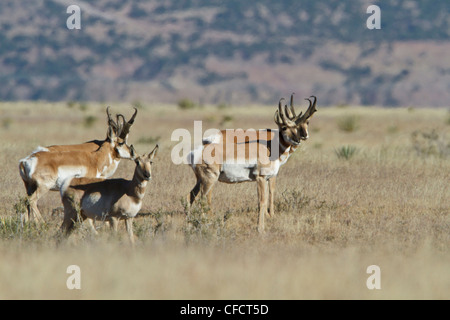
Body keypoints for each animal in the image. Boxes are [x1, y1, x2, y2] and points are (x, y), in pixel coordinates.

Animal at [186, 94, 316, 232]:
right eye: (284, 127)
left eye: (305, 123)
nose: (300, 139)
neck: (271, 146)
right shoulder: (262, 178)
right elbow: (263, 201)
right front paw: (261, 228)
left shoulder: (266, 178)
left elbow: (265, 198)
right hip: (210, 179)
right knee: (203, 199)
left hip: (201, 180)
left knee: (191, 196)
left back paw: (189, 223)